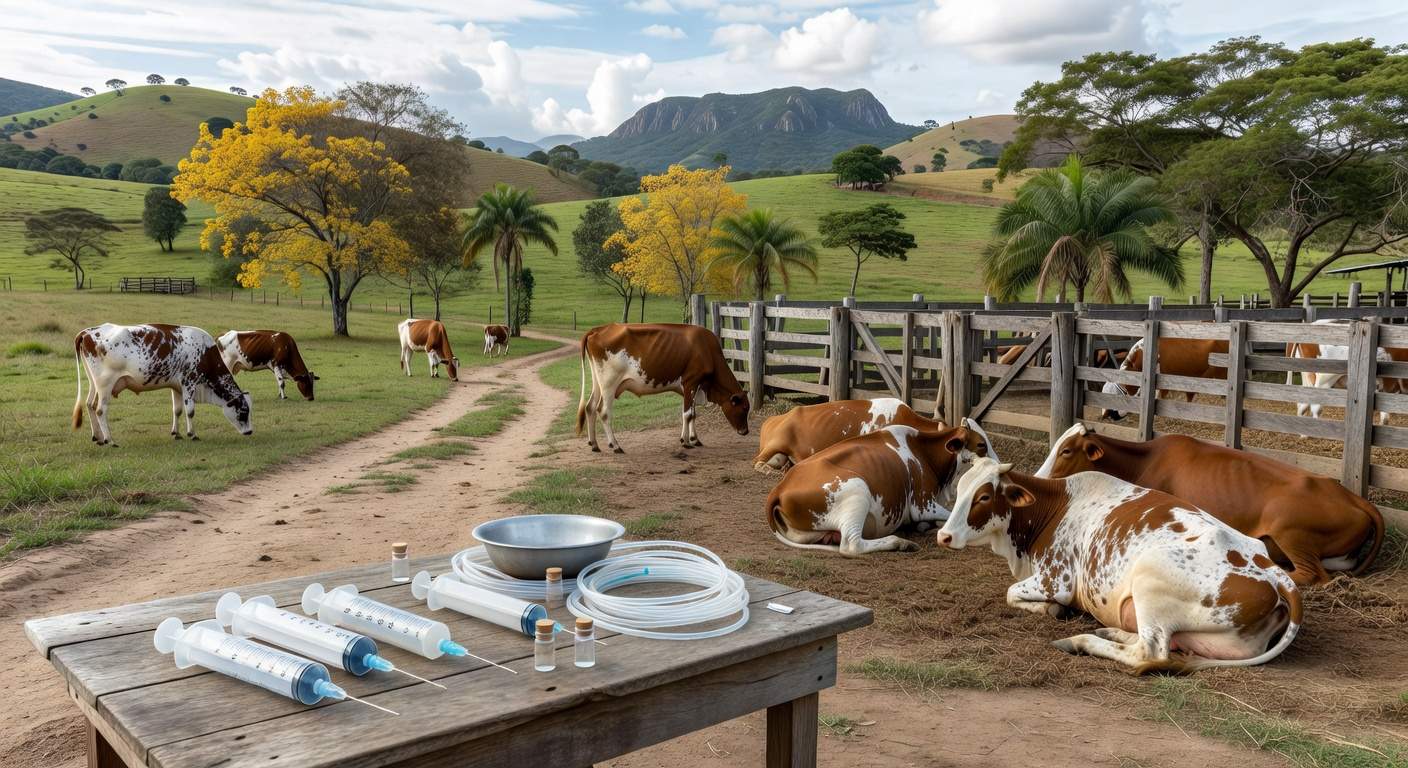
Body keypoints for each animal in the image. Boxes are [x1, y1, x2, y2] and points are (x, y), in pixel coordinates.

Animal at [72, 323, 253, 446]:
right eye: (244, 411)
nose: (250, 431)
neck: (205, 352)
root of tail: (87, 331)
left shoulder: (177, 387)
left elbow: (177, 410)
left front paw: (176, 433)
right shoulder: (189, 382)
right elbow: (190, 411)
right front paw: (192, 434)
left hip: (94, 384)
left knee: (89, 404)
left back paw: (98, 437)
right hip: (105, 385)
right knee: (100, 410)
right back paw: (109, 440)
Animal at [576, 323, 749, 453]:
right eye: (743, 409)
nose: (745, 431)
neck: (706, 348)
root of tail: (598, 329)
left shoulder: (696, 386)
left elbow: (693, 414)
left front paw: (695, 439)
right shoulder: (691, 382)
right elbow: (687, 414)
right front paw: (685, 441)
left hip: (598, 382)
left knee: (590, 407)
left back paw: (594, 444)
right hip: (609, 384)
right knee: (604, 412)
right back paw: (616, 445)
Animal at [767, 420, 995, 555]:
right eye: (981, 444)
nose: (998, 466)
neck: (924, 451)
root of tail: (780, 488)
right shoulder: (922, 505)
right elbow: (951, 513)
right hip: (858, 489)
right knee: (851, 544)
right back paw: (900, 543)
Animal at [938, 457, 1302, 673]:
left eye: (984, 497)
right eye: (960, 488)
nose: (943, 536)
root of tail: (1275, 573)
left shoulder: (1058, 580)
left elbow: (1012, 593)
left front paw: (1050, 610)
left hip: (1149, 578)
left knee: (1151, 651)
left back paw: (1081, 641)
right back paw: (1109, 630)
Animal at [1034, 423, 1385, 585]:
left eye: (1066, 450)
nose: (1038, 477)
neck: (1144, 461)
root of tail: (1350, 495)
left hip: (1290, 530)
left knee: (1312, 574)